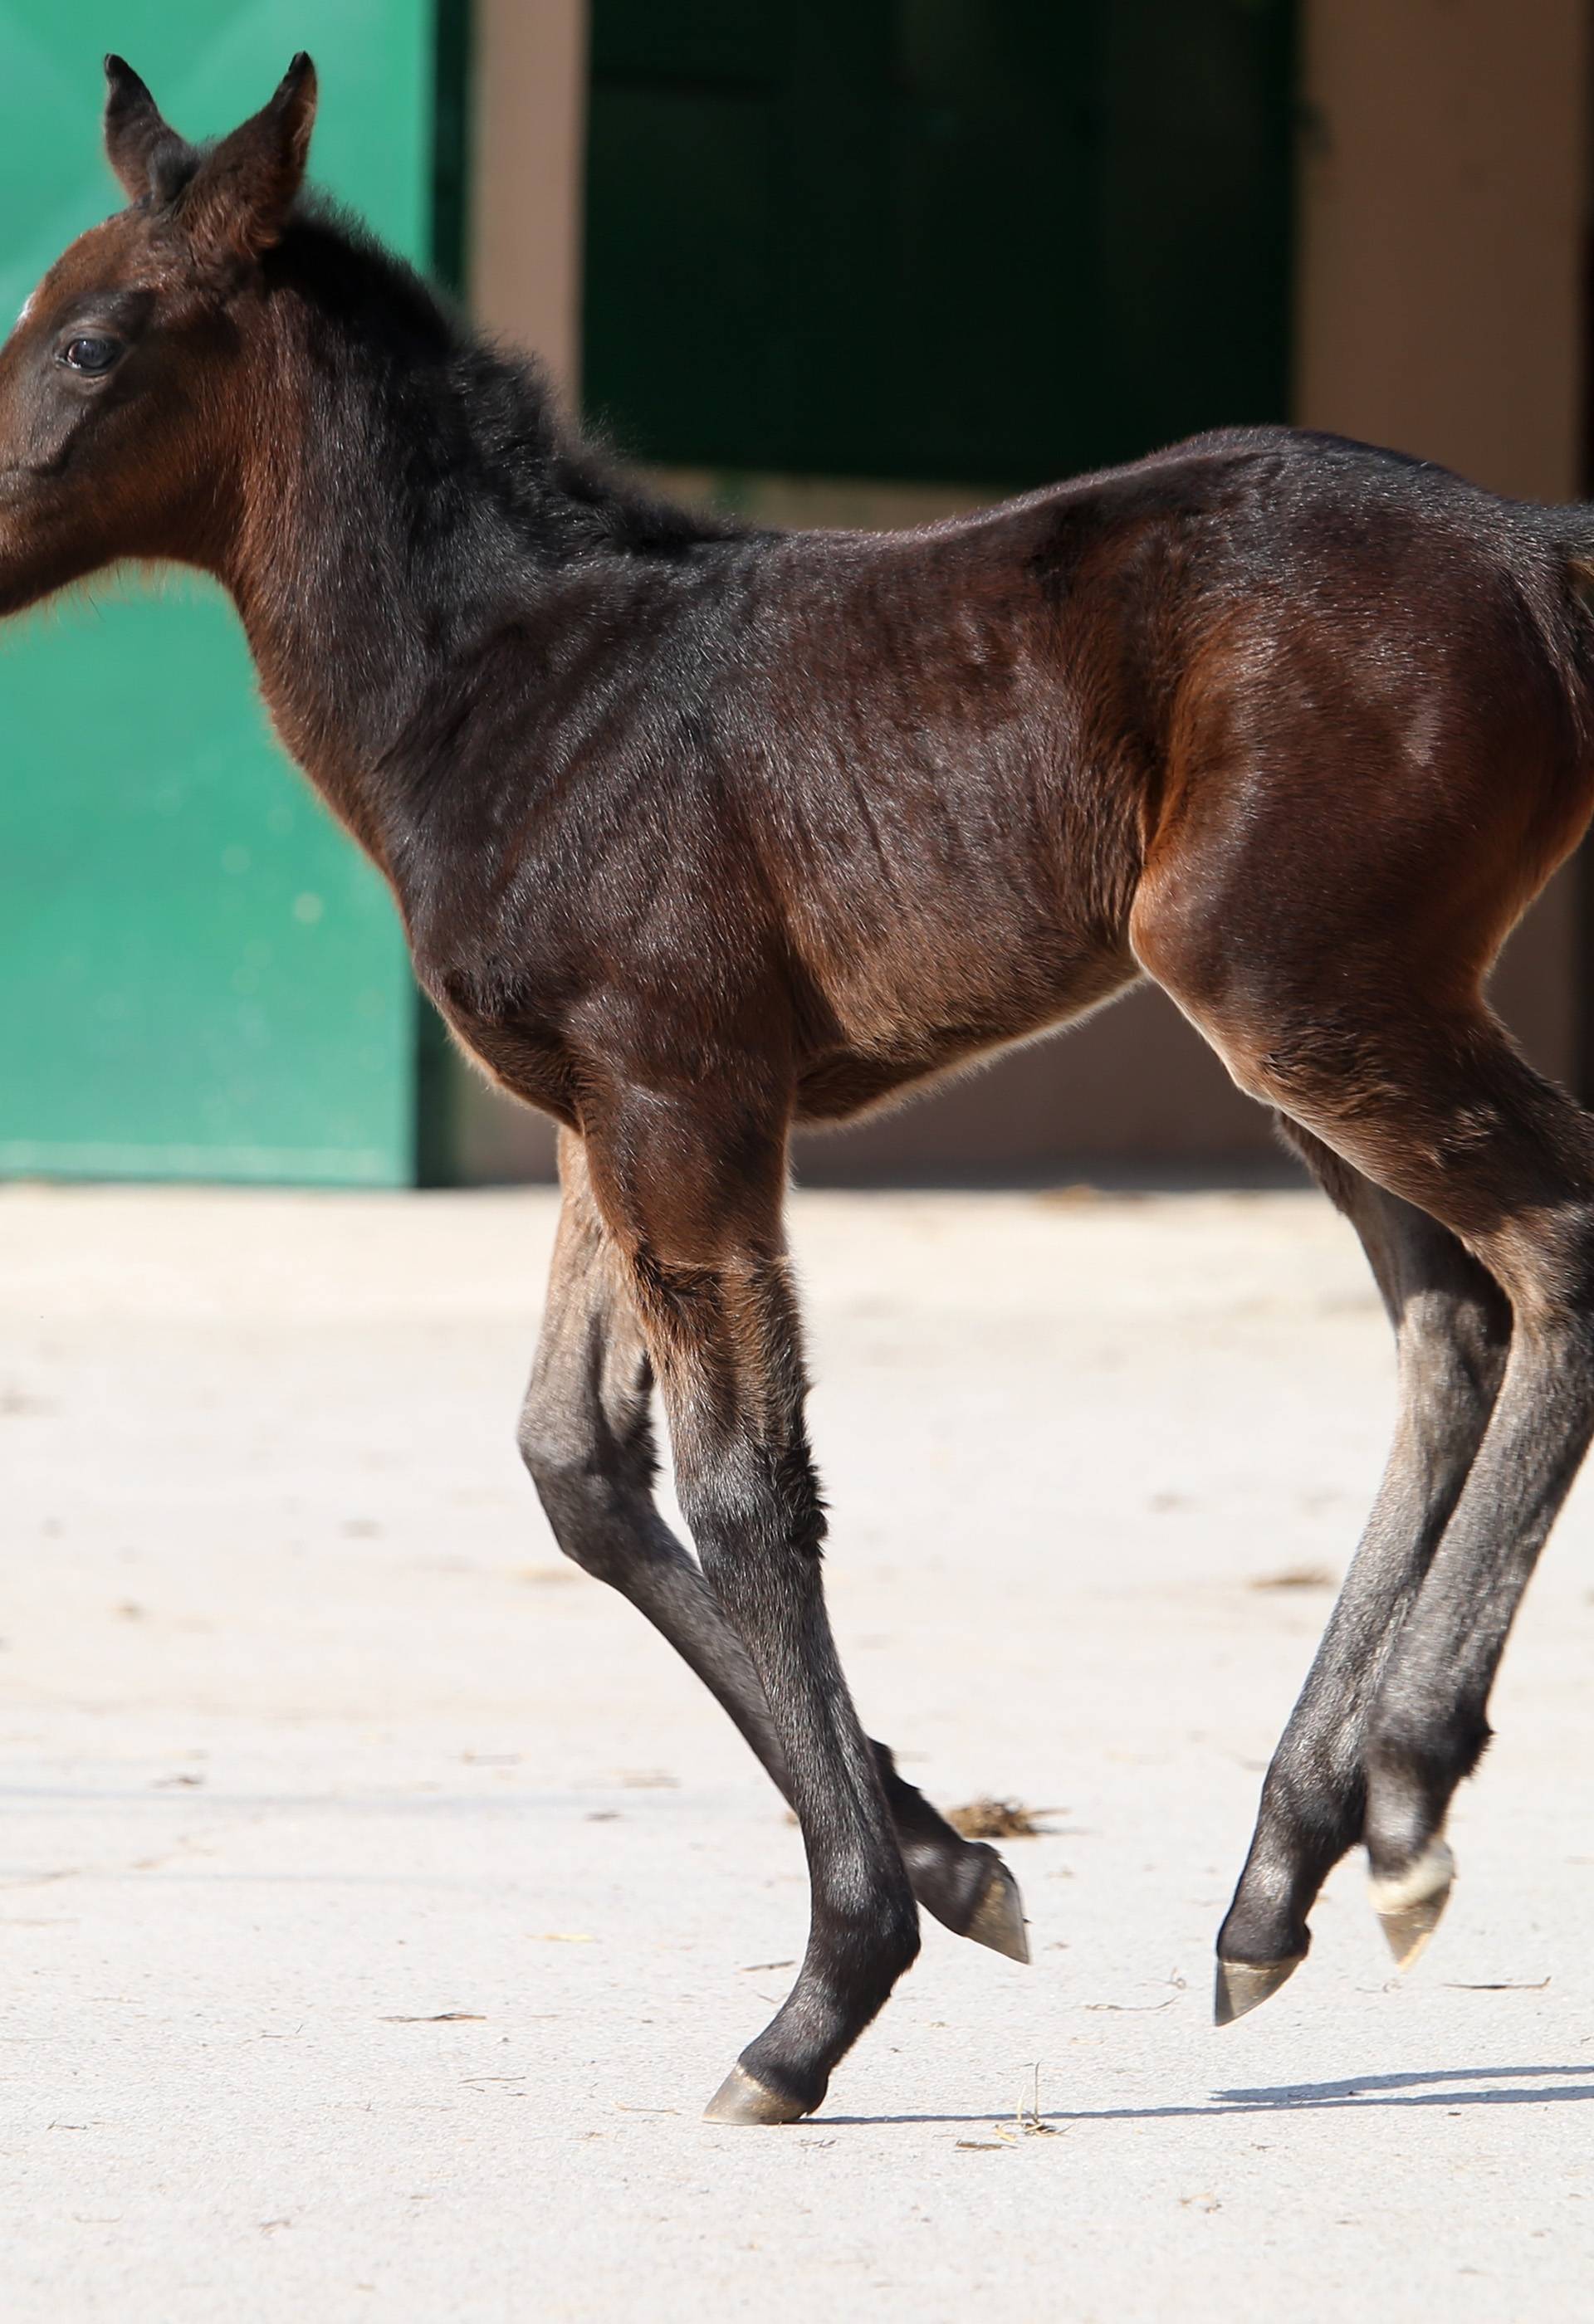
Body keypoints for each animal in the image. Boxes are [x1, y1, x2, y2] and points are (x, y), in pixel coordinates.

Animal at [2, 54, 1594, 2128]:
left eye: (91, 340)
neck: (518, 681)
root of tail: (1535, 549)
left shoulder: (683, 1093)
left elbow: (747, 1489)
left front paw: (829, 1985)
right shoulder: (604, 1109)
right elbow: (581, 1472)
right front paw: (956, 1862)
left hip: (1297, 979)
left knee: (1550, 1237)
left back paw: (1400, 1791)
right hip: (1324, 1012)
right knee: (1447, 1315)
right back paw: (1280, 1871)